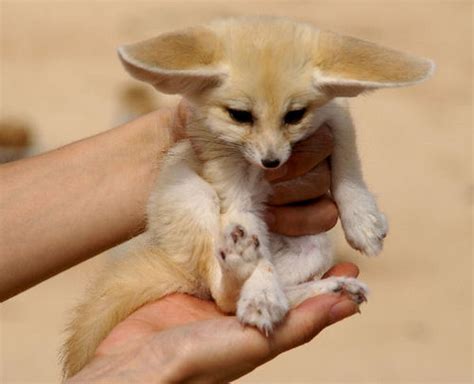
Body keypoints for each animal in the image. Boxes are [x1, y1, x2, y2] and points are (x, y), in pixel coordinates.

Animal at [61, 16, 436, 376]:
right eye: (240, 115)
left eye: (294, 115)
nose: (272, 161)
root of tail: (181, 270)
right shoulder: (232, 192)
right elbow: (253, 251)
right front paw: (261, 293)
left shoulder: (335, 115)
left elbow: (348, 162)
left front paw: (362, 220)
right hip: (192, 196)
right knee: (221, 297)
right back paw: (244, 266)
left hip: (315, 247)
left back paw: (330, 288)